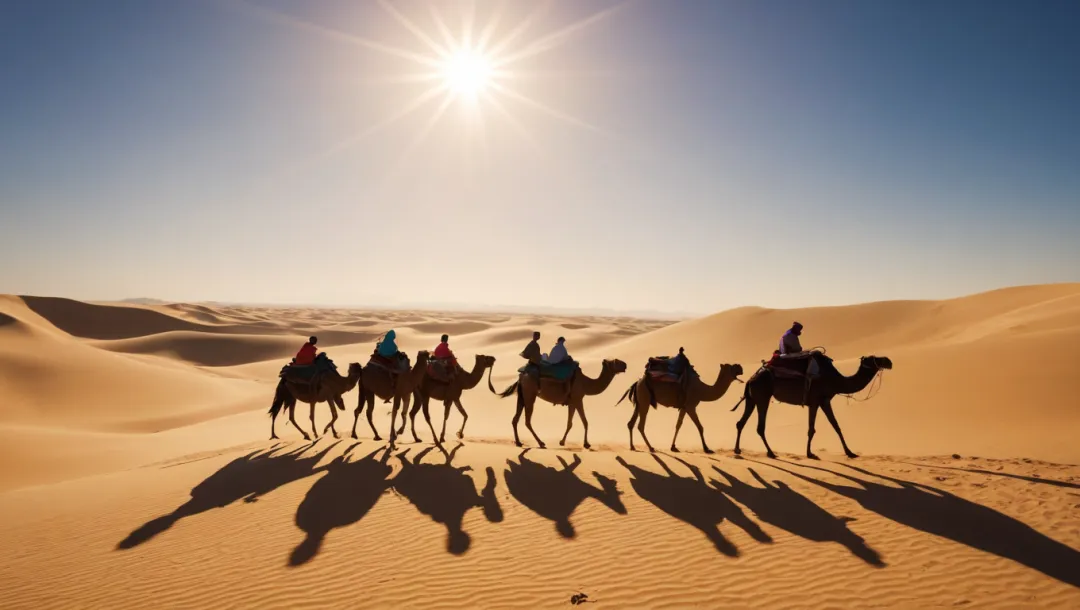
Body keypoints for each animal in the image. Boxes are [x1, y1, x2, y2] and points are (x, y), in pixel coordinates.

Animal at [494, 356, 630, 446]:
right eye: (616, 362)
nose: (625, 365)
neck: (586, 383)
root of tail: (521, 376)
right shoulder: (578, 399)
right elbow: (584, 421)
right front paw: (586, 444)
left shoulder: (572, 402)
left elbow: (570, 423)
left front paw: (562, 441)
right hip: (530, 395)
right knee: (527, 421)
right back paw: (541, 442)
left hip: (522, 396)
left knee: (515, 418)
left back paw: (518, 442)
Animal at [734, 351, 894, 457]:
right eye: (874, 358)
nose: (888, 361)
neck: (836, 380)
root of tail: (750, 379)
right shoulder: (816, 401)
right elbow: (812, 429)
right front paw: (810, 453)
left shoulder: (824, 401)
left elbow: (835, 425)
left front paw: (850, 452)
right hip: (763, 397)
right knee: (760, 427)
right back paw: (771, 452)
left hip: (752, 399)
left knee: (740, 423)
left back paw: (737, 450)